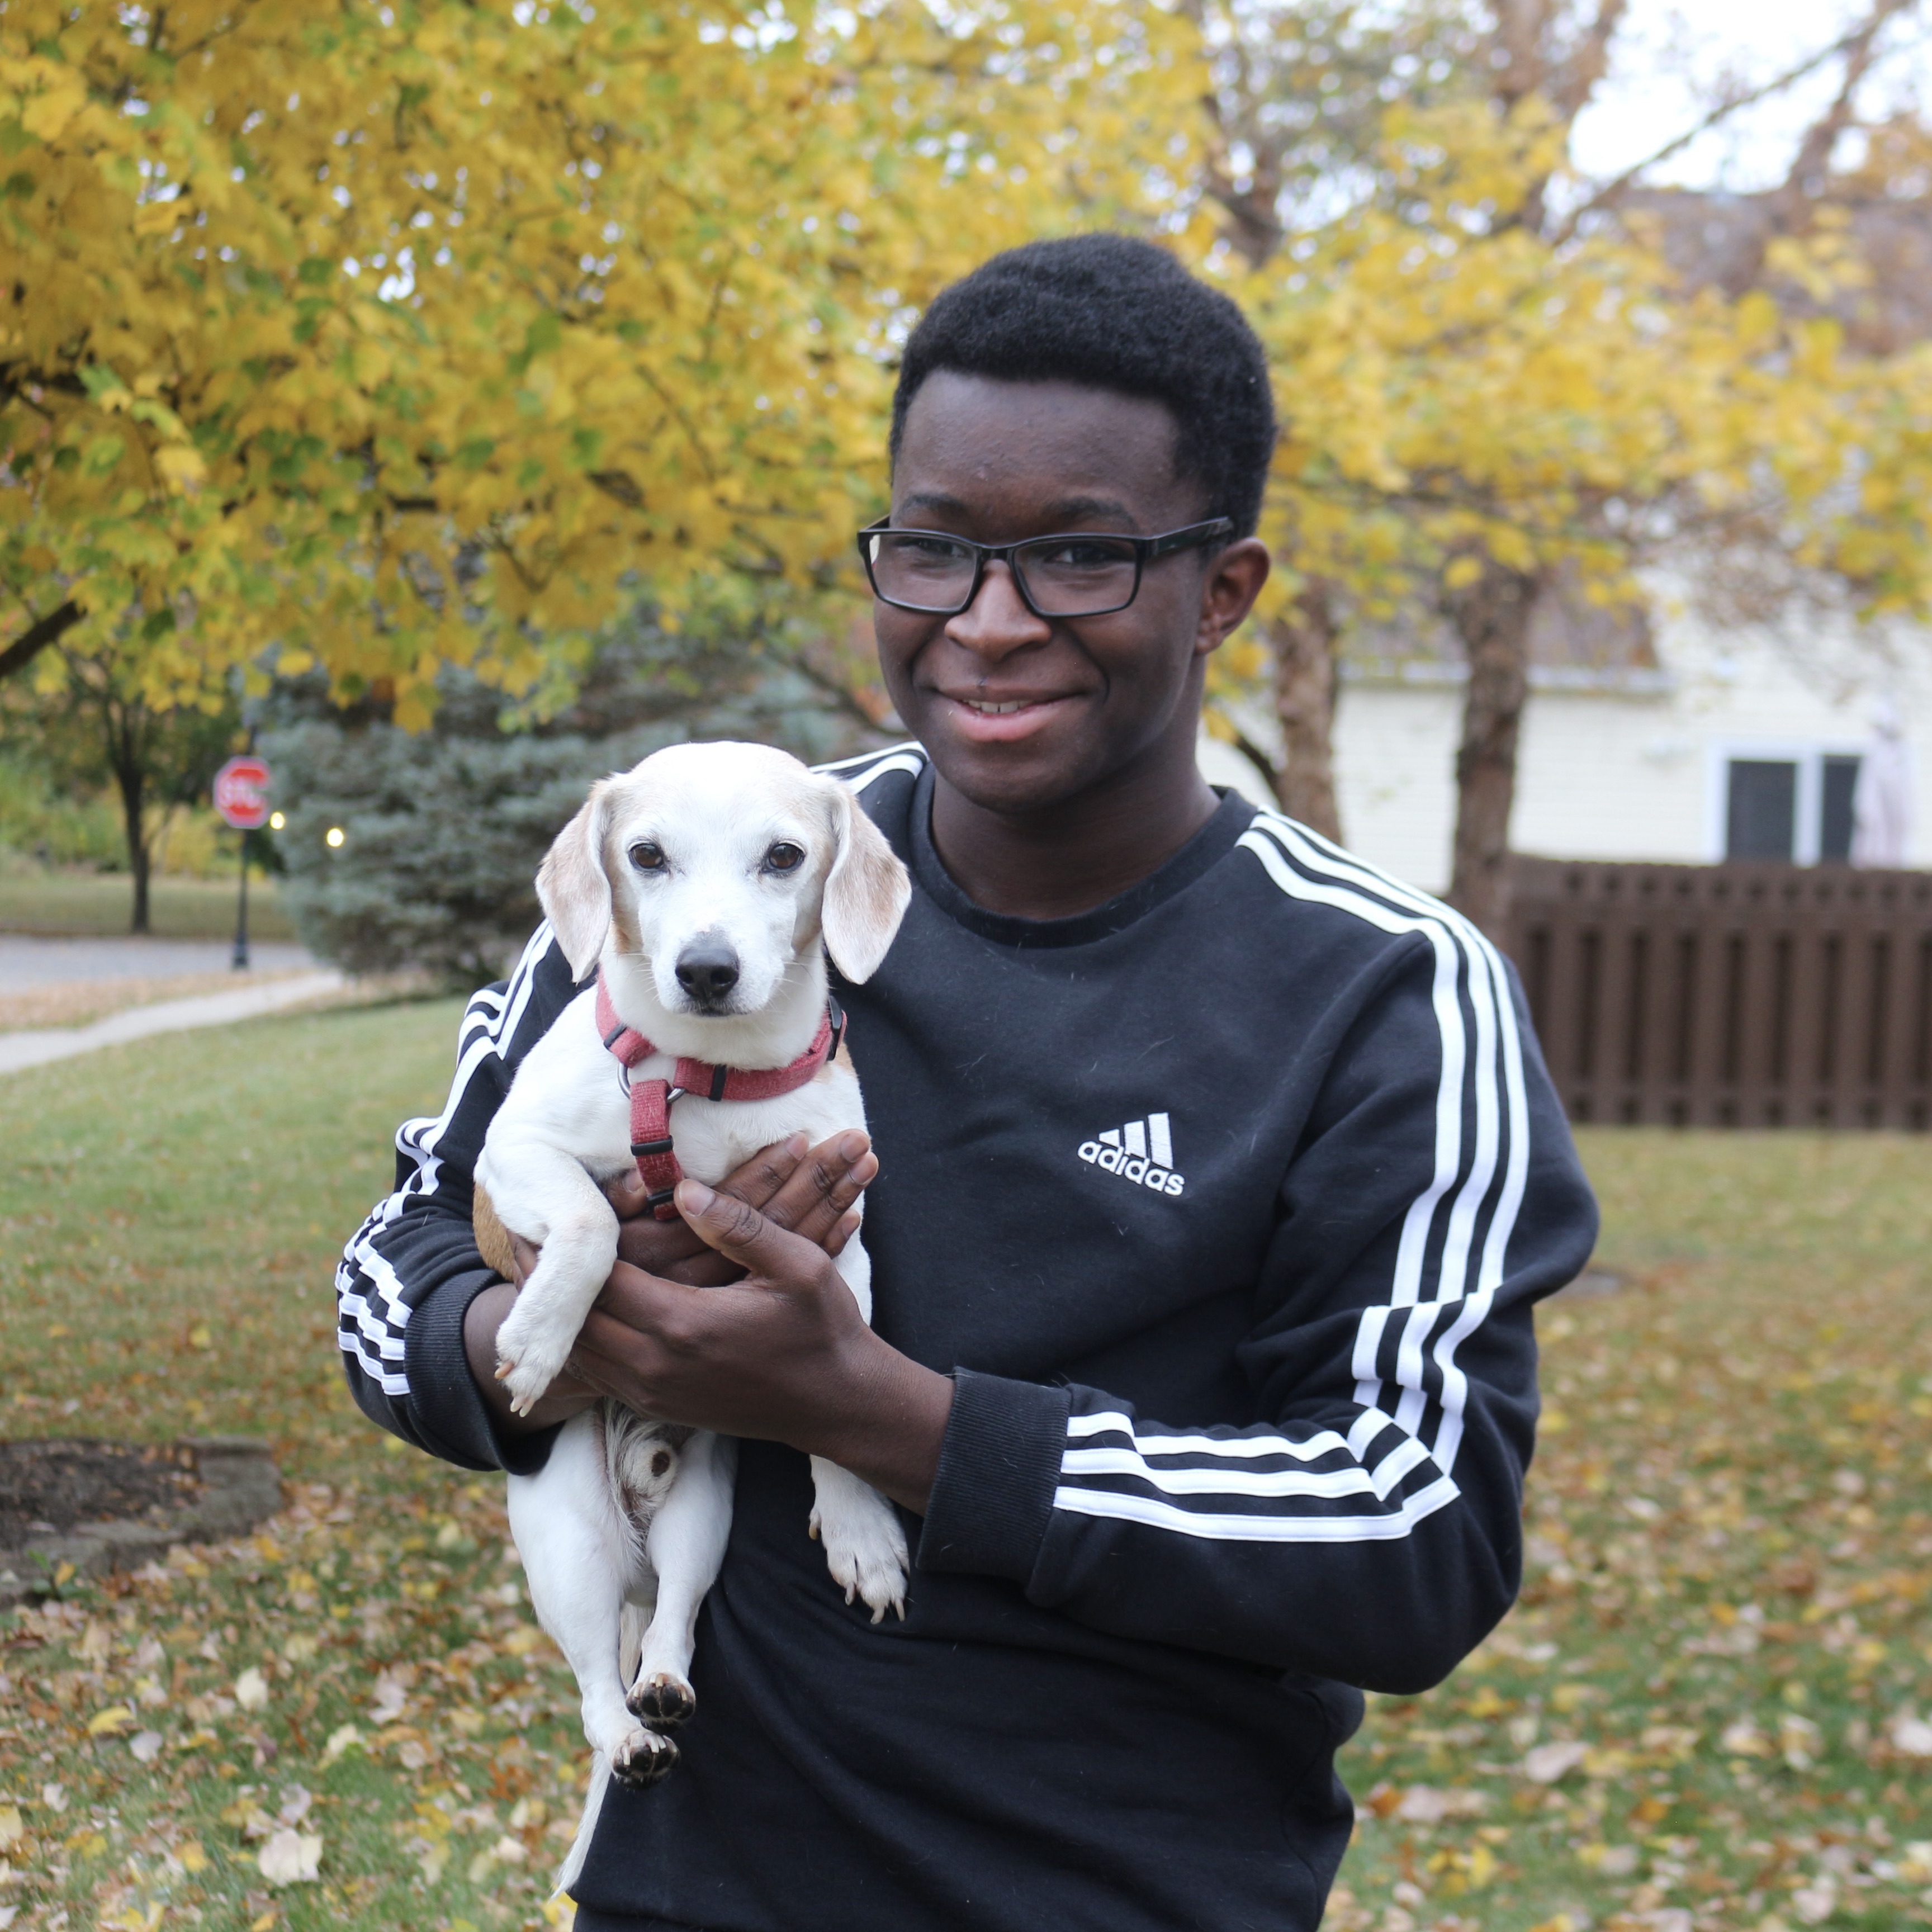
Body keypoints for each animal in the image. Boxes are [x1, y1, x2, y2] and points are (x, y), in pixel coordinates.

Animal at [473, 738, 912, 1886]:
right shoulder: (512, 1157)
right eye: (647, 855)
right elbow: (591, 1220)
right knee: (594, 1687)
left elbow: (840, 1402)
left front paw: (860, 1528)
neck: (704, 1084)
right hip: (568, 1549)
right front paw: (541, 1336)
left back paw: (665, 1685)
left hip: (698, 1521)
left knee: (670, 1626)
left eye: (784, 856)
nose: (706, 970)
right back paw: (628, 1736)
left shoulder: (837, 1251)